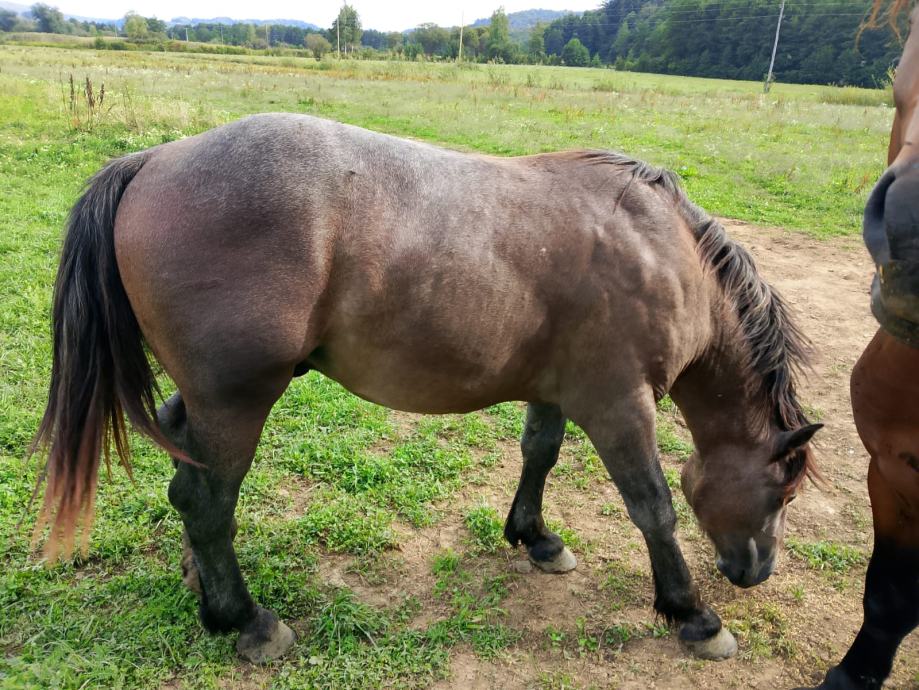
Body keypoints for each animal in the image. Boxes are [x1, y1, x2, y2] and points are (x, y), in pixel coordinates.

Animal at [33, 113, 821, 663]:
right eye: (783, 494)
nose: (755, 573)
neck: (662, 251)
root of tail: (154, 159)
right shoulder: (619, 407)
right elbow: (652, 506)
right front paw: (692, 614)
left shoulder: (555, 390)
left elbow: (538, 455)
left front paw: (535, 538)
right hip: (237, 401)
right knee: (206, 503)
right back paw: (246, 620)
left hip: (205, 398)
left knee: (183, 474)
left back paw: (204, 586)